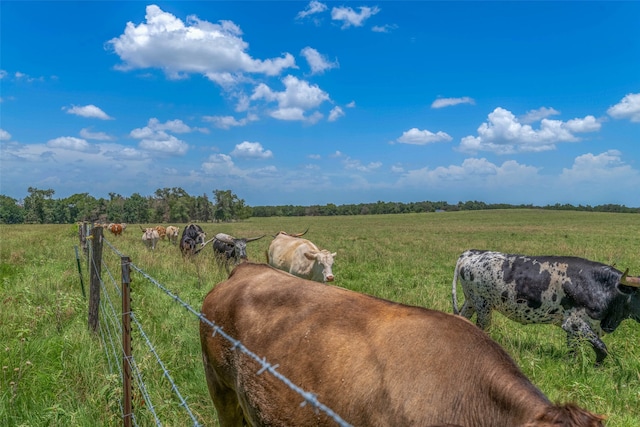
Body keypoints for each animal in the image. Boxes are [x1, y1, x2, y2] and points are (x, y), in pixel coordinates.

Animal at [452, 251, 640, 364]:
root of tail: (471, 253)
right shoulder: (574, 323)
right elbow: (602, 348)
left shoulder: (574, 328)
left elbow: (573, 350)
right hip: (483, 305)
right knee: (482, 328)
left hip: (471, 302)